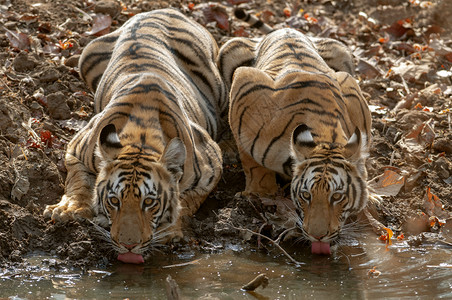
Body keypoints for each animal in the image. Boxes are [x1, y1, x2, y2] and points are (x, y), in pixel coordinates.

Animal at [43, 8, 226, 264]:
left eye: (148, 202)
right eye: (114, 201)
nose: (128, 246)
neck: (142, 137)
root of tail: (162, 10)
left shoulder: (212, 167)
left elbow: (188, 199)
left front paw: (170, 228)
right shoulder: (77, 148)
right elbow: (78, 180)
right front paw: (68, 210)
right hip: (85, 56)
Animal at [218, 23, 370, 254]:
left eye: (337, 196)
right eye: (306, 195)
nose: (318, 236)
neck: (326, 135)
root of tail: (284, 29)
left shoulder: (352, 91)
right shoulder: (245, 86)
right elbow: (251, 161)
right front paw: (261, 191)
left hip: (344, 59)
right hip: (229, 50)